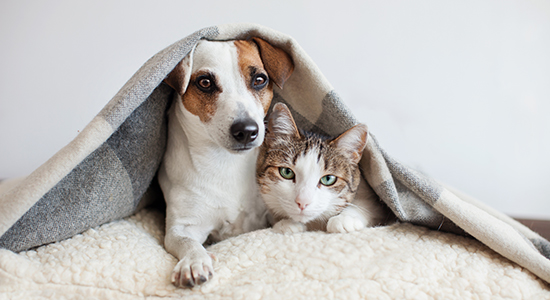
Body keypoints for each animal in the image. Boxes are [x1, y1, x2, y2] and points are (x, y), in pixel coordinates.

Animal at [157, 38, 296, 288]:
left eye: (259, 80)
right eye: (205, 82)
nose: (247, 130)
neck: (226, 163)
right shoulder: (181, 227)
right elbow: (187, 243)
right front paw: (193, 262)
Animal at [258, 103, 392, 234]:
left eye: (328, 179)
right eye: (286, 172)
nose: (303, 202)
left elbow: (367, 205)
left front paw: (345, 219)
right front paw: (286, 223)